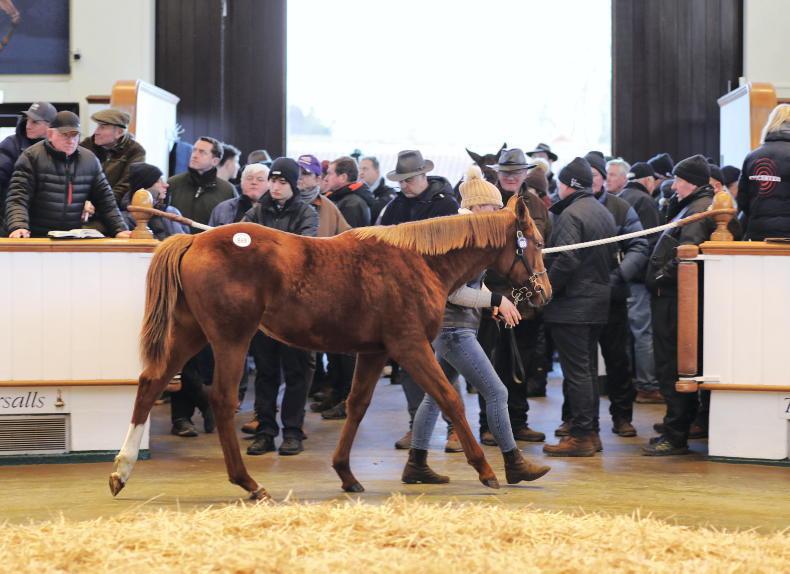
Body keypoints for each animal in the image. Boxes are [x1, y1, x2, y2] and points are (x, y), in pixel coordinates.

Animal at [109, 195, 551, 501]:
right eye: (535, 241)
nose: (544, 293)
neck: (418, 262)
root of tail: (193, 240)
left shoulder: (374, 352)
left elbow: (357, 406)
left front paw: (346, 475)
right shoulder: (410, 346)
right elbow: (449, 399)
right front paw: (487, 471)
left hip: (190, 333)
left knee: (150, 383)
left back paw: (121, 471)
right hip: (231, 338)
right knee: (219, 399)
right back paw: (249, 483)